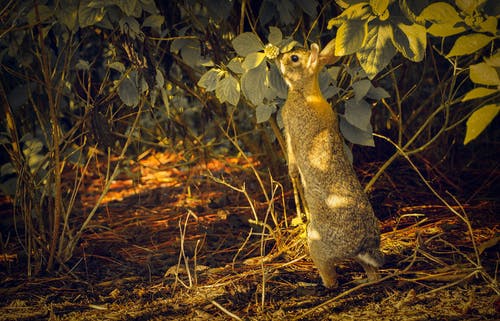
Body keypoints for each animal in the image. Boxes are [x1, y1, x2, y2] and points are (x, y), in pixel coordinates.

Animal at [278, 40, 382, 288]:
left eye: (294, 58)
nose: (278, 56)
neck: (303, 92)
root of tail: (361, 246)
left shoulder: (290, 129)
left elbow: (292, 155)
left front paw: (292, 173)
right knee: (373, 274)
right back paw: (364, 281)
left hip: (316, 244)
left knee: (330, 276)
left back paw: (315, 284)